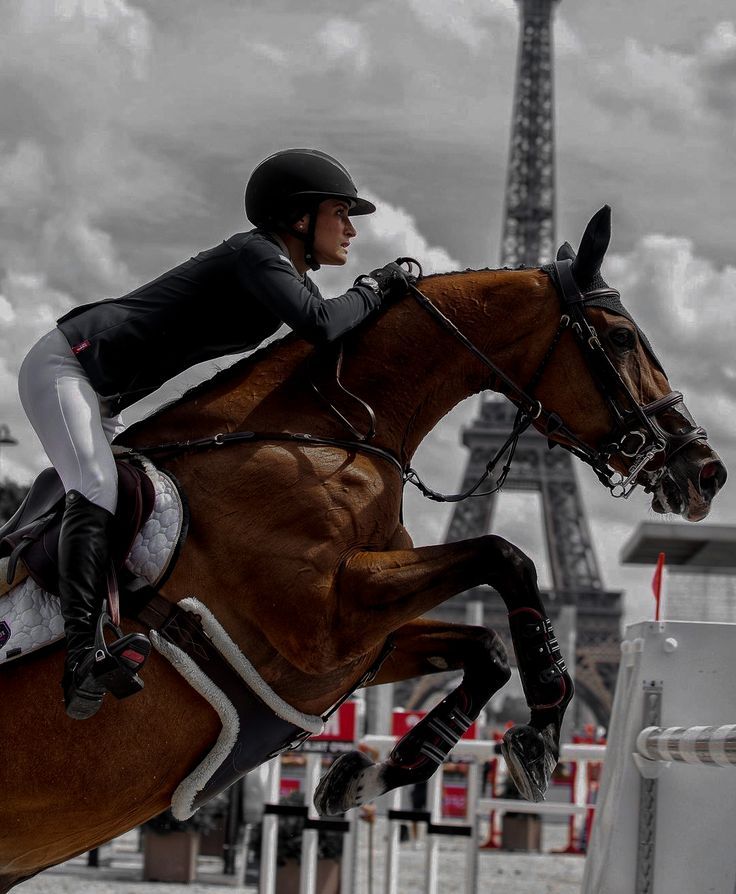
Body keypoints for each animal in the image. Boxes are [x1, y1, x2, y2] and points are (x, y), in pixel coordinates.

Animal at [0, 208, 724, 888]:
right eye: (622, 337)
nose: (707, 472)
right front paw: (543, 724)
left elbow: (487, 646)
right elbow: (505, 556)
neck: (325, 429)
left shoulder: (360, 645)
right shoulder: (321, 624)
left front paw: (369, 775)